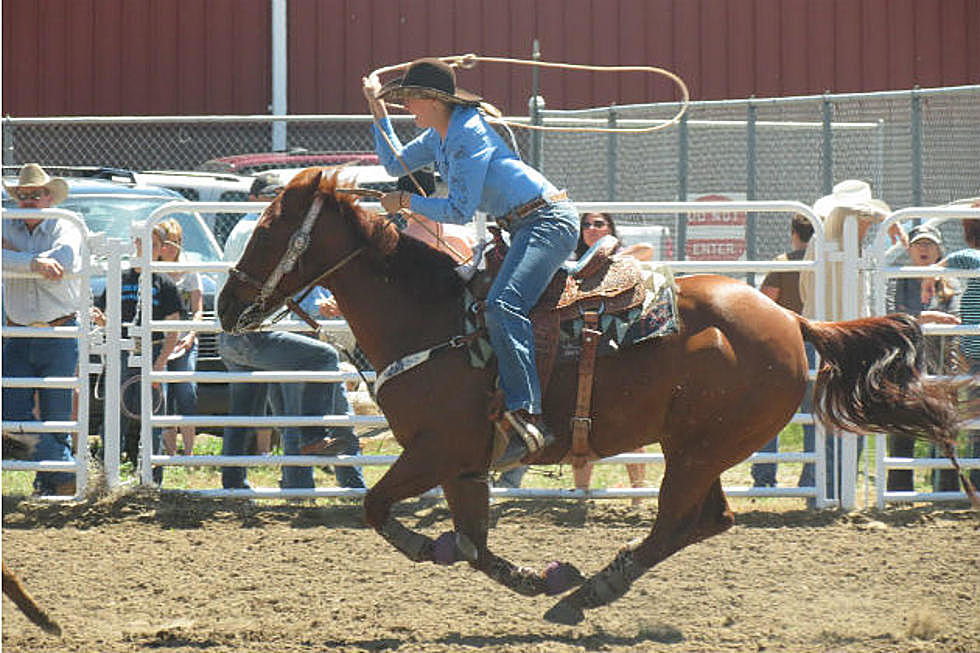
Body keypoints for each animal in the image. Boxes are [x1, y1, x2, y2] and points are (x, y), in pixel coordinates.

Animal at [216, 168, 964, 620]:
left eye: (266, 229)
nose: (225, 307)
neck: (432, 316)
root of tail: (793, 320)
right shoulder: (463, 463)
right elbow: (472, 541)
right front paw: (533, 575)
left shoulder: (437, 450)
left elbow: (376, 506)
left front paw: (440, 552)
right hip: (701, 451)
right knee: (709, 520)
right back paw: (582, 588)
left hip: (696, 451)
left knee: (675, 524)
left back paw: (590, 593)